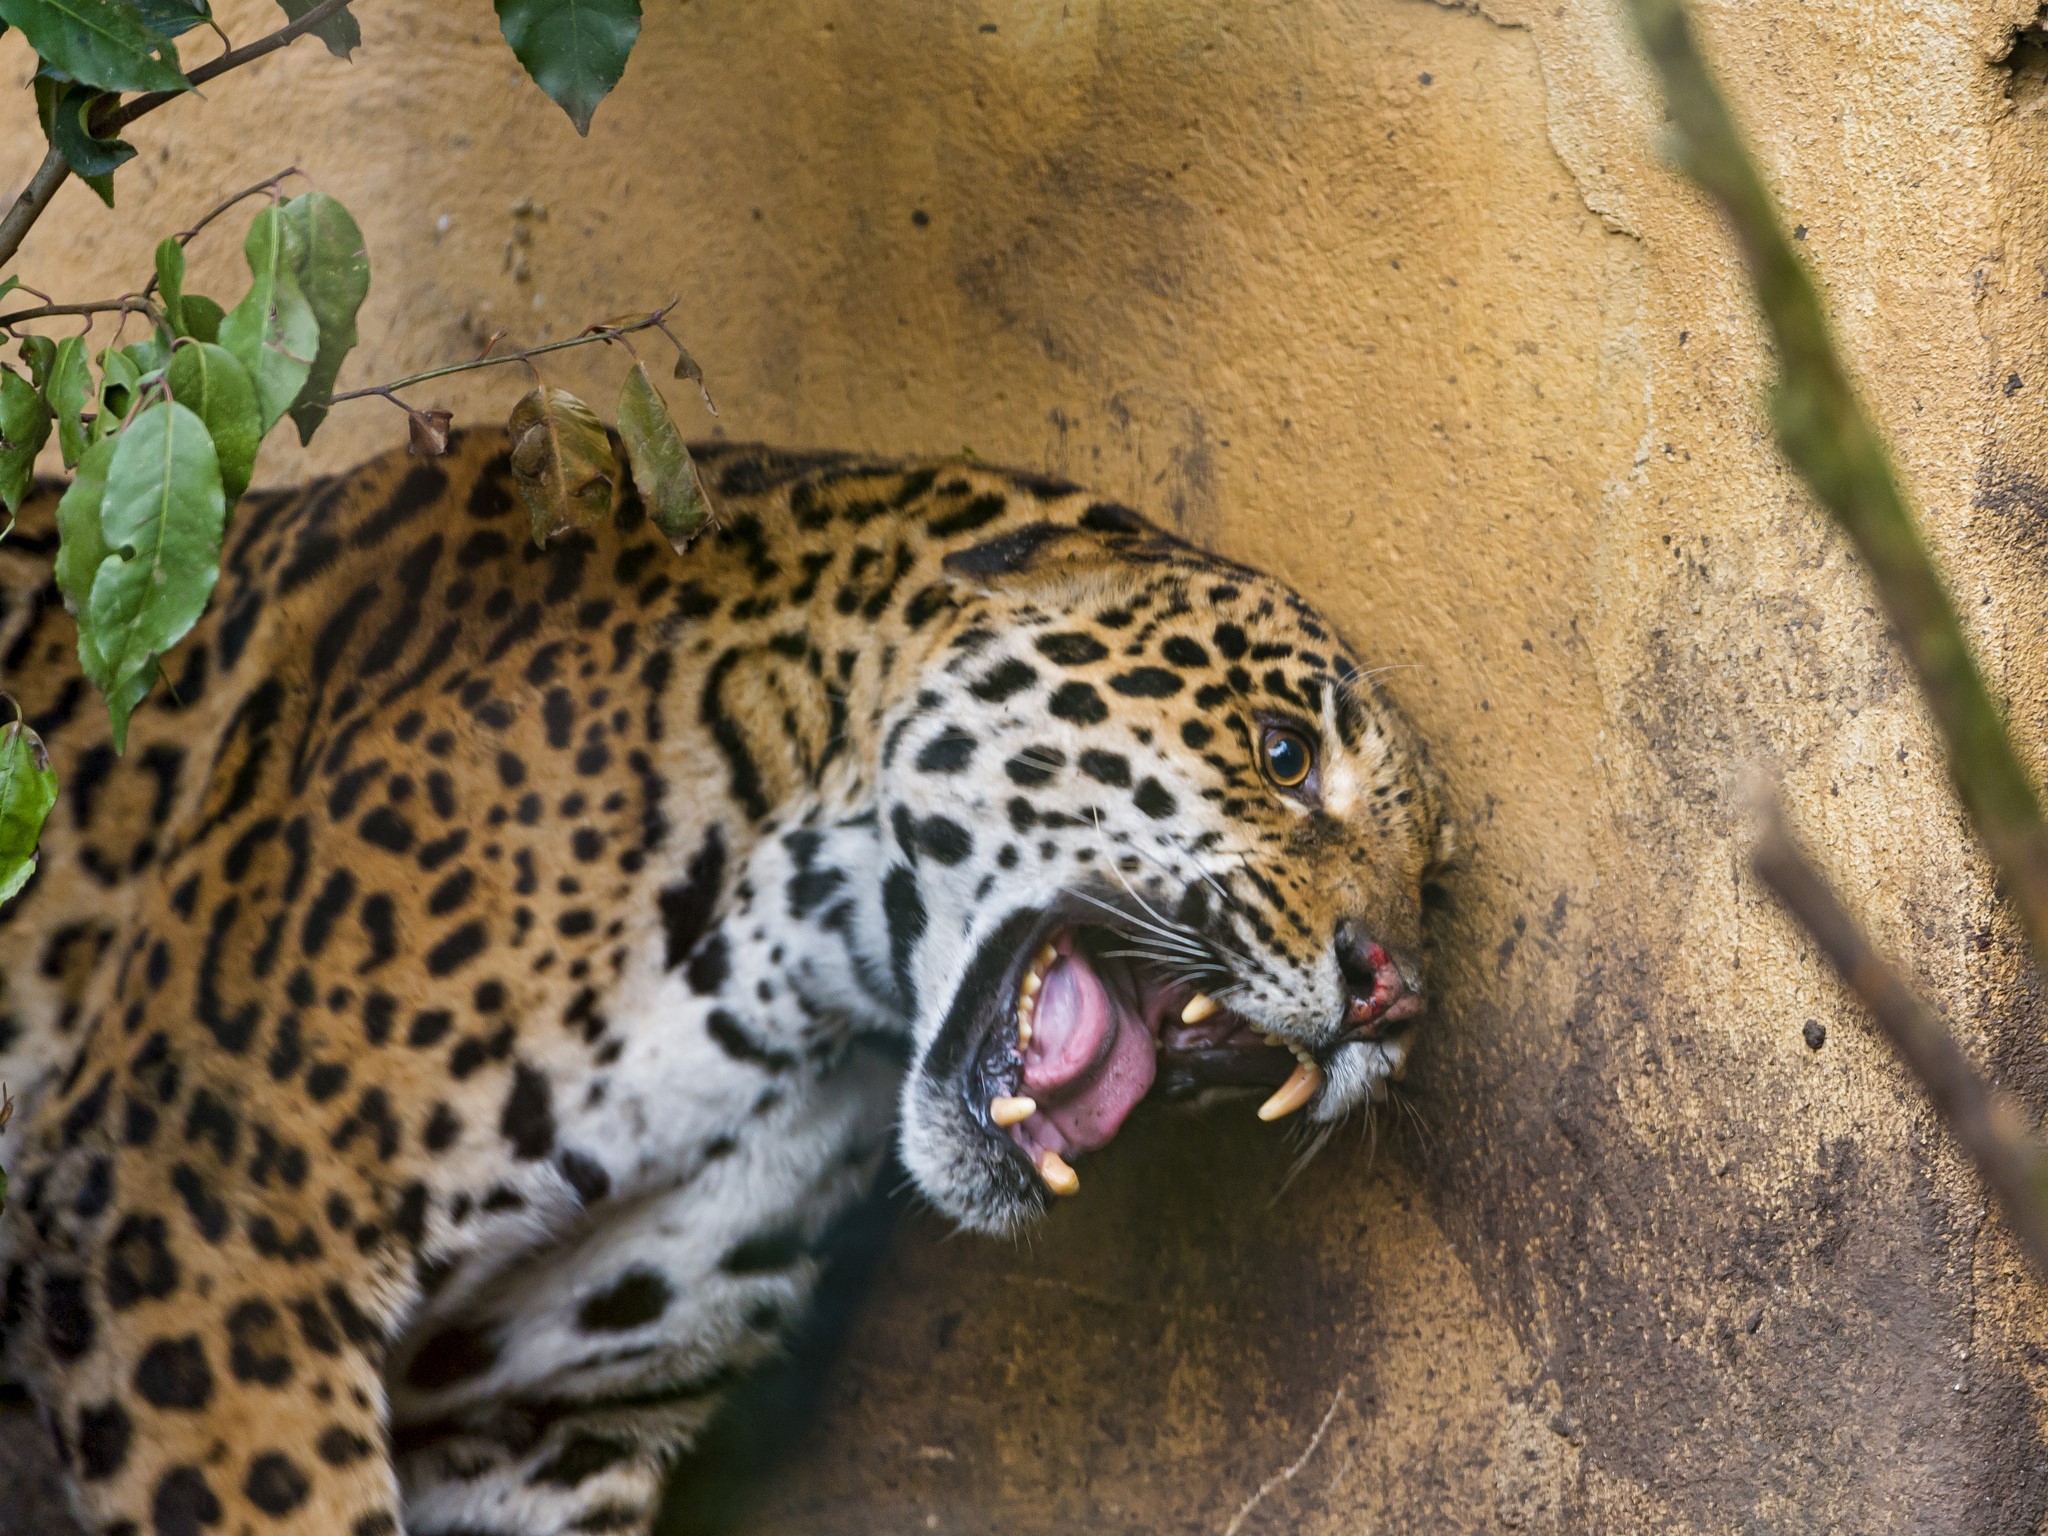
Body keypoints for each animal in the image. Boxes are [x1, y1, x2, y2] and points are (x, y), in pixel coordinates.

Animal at [0, 429, 1452, 1536]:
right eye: (1281, 752)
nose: (1392, 998)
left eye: (1437, 887)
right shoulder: (205, 1219)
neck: (785, 977)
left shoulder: (547, 1424)